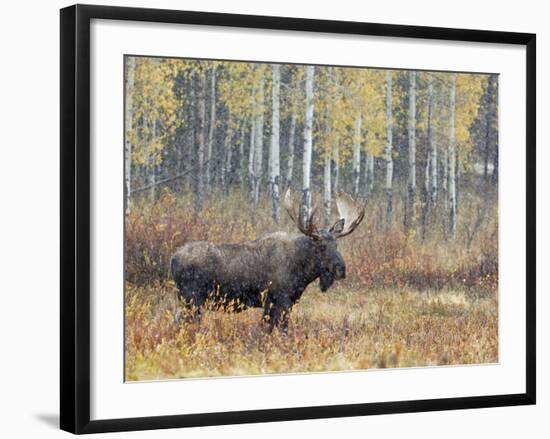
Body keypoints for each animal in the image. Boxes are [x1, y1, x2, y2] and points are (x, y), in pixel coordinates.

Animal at [170, 191, 364, 332]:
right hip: (191, 298)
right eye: (321, 246)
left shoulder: (288, 301)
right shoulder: (279, 299)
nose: (341, 269)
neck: (302, 273)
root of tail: (173, 258)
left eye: (336, 244)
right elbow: (277, 329)